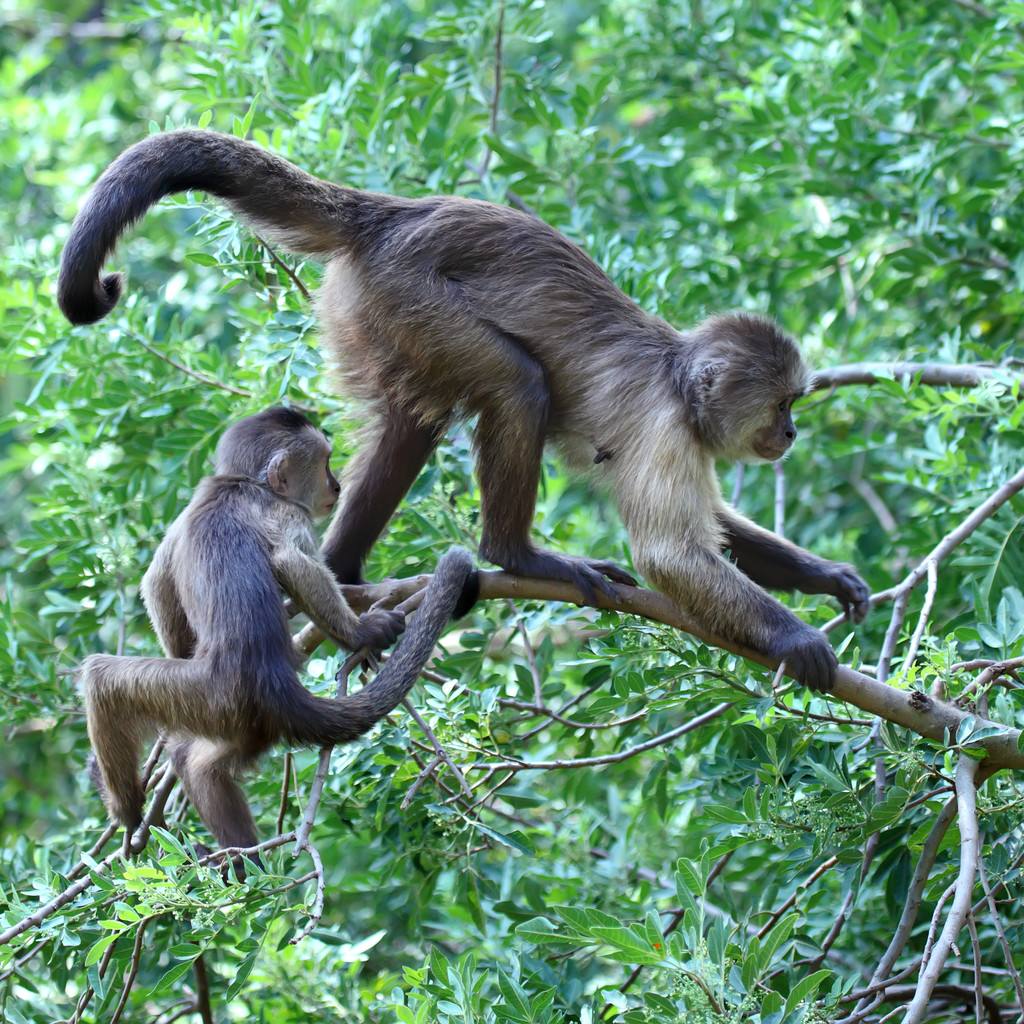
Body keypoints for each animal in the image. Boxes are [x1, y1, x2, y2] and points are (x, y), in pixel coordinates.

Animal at [59, 128, 868, 688]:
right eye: (783, 403)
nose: (791, 431)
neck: (676, 378)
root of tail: (389, 216)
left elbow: (720, 531)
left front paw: (830, 579)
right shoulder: (668, 426)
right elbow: (673, 554)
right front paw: (796, 639)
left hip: (371, 317)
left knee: (412, 419)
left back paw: (345, 569)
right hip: (407, 294)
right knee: (516, 384)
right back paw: (514, 555)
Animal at [80, 403, 475, 851]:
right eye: (325, 464)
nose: (337, 485)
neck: (244, 484)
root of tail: (273, 681)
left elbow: (168, 579)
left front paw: (360, 634)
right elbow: (171, 579)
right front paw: (363, 633)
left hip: (210, 697)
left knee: (103, 683)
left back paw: (134, 814)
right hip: (228, 711)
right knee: (196, 763)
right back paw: (226, 853)